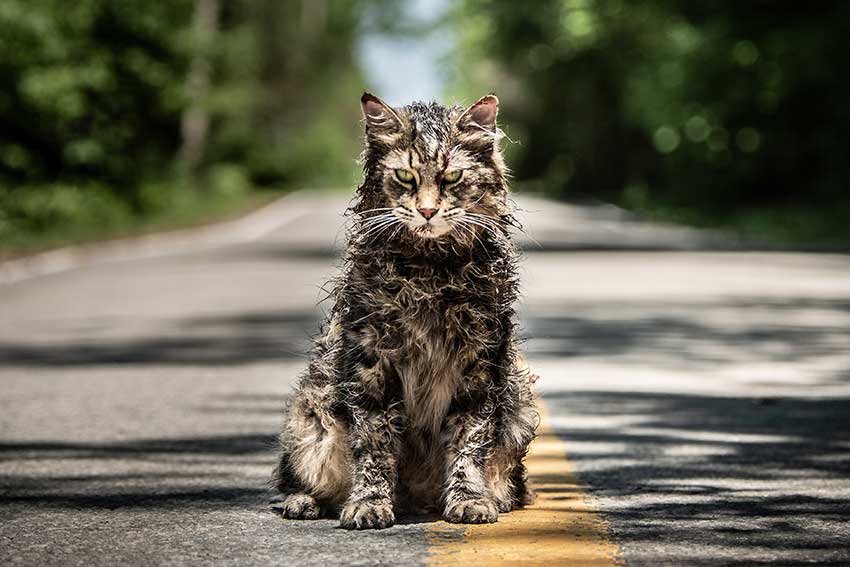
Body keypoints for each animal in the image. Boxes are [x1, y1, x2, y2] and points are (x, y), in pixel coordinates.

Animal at [270, 91, 536, 532]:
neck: (429, 271)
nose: (427, 212)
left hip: (519, 409)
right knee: (296, 478)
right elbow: (375, 444)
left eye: (451, 178)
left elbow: (469, 440)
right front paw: (369, 504)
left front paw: (469, 499)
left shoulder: (479, 364)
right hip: (311, 415)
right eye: (406, 177)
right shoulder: (371, 363)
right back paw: (303, 501)